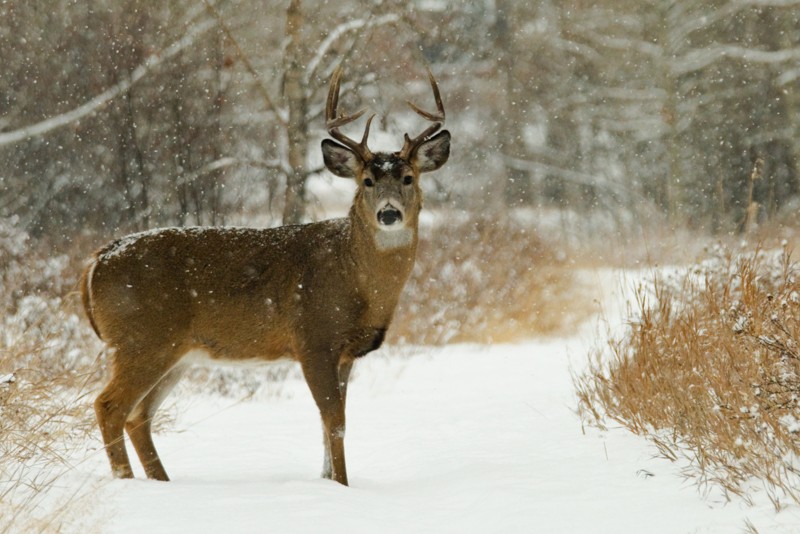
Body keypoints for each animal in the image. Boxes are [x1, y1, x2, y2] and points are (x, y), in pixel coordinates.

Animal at [81, 65, 450, 488]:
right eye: (366, 181)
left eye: (408, 178)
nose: (389, 213)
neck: (353, 277)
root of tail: (97, 260)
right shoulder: (313, 338)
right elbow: (334, 422)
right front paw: (341, 486)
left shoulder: (344, 353)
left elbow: (328, 425)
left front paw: (329, 483)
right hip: (140, 340)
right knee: (109, 405)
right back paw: (126, 483)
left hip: (176, 353)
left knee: (139, 416)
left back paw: (162, 483)